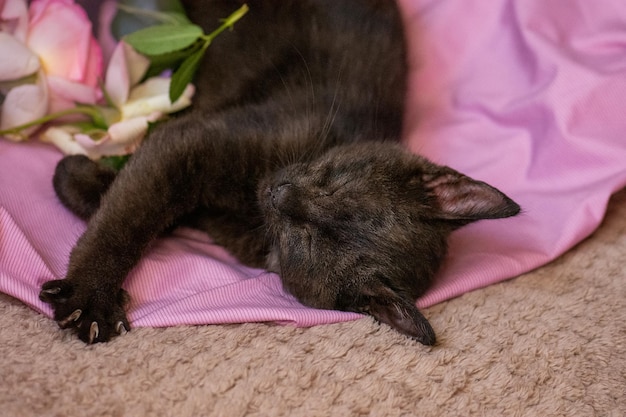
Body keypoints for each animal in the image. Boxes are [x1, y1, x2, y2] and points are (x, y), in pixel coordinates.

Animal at [37, 0, 516, 344]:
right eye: (336, 182)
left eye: (307, 241)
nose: (282, 194)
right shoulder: (192, 141)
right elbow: (129, 218)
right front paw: (92, 295)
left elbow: (141, 204)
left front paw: (78, 177)